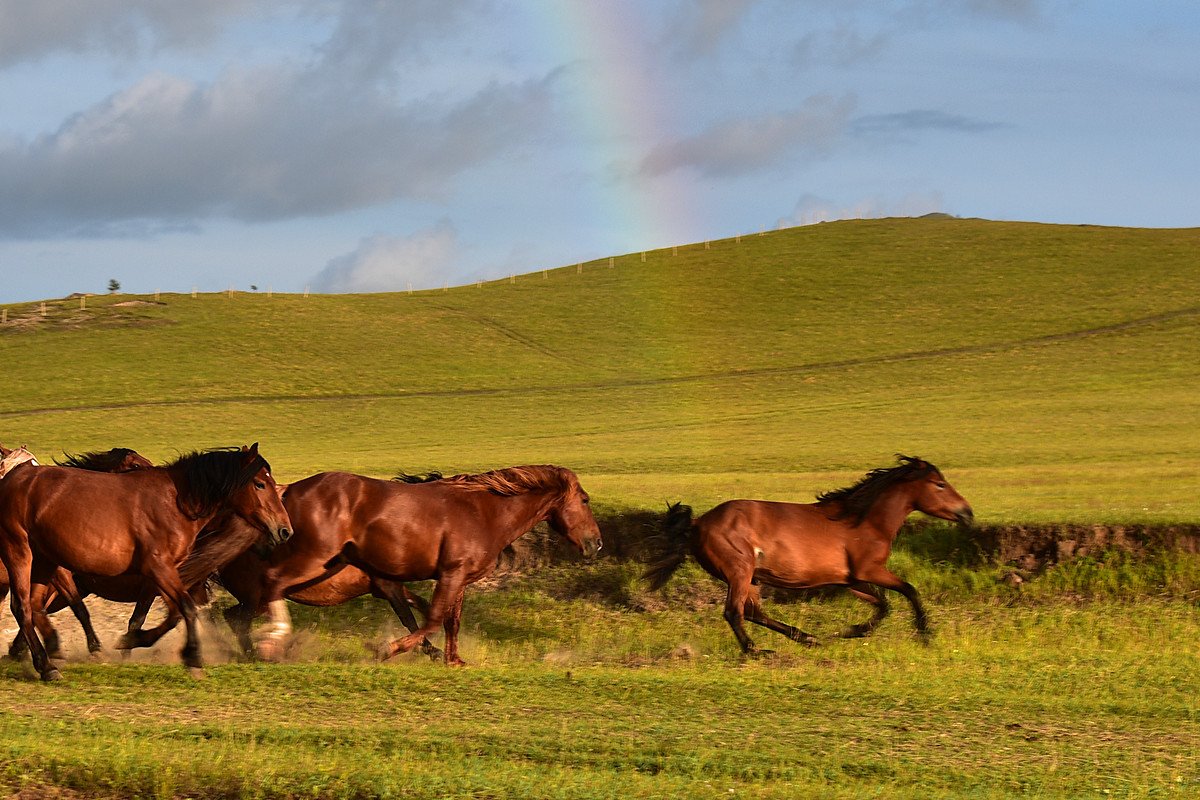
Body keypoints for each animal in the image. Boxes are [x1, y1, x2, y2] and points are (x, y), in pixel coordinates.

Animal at [0, 448, 289, 681]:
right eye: (260, 484)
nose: (284, 530)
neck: (176, 503)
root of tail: (12, 480)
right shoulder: (159, 568)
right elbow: (185, 609)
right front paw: (193, 659)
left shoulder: (163, 575)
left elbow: (165, 615)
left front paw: (131, 642)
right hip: (20, 552)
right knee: (22, 607)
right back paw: (46, 667)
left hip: (46, 562)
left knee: (36, 607)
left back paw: (48, 655)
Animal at [218, 465, 600, 666]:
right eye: (584, 500)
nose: (596, 543)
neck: (484, 512)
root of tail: (287, 491)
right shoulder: (450, 573)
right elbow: (432, 618)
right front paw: (387, 648)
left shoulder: (457, 578)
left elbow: (449, 620)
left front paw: (453, 660)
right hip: (310, 560)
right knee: (270, 585)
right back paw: (272, 642)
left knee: (241, 611)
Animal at [643, 455, 969, 657]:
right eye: (940, 484)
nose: (967, 512)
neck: (863, 521)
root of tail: (697, 522)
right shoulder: (871, 571)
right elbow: (909, 591)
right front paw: (925, 634)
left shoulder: (851, 580)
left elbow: (883, 605)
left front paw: (851, 631)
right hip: (739, 570)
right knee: (734, 612)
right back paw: (758, 651)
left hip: (752, 578)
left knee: (754, 612)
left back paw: (807, 638)